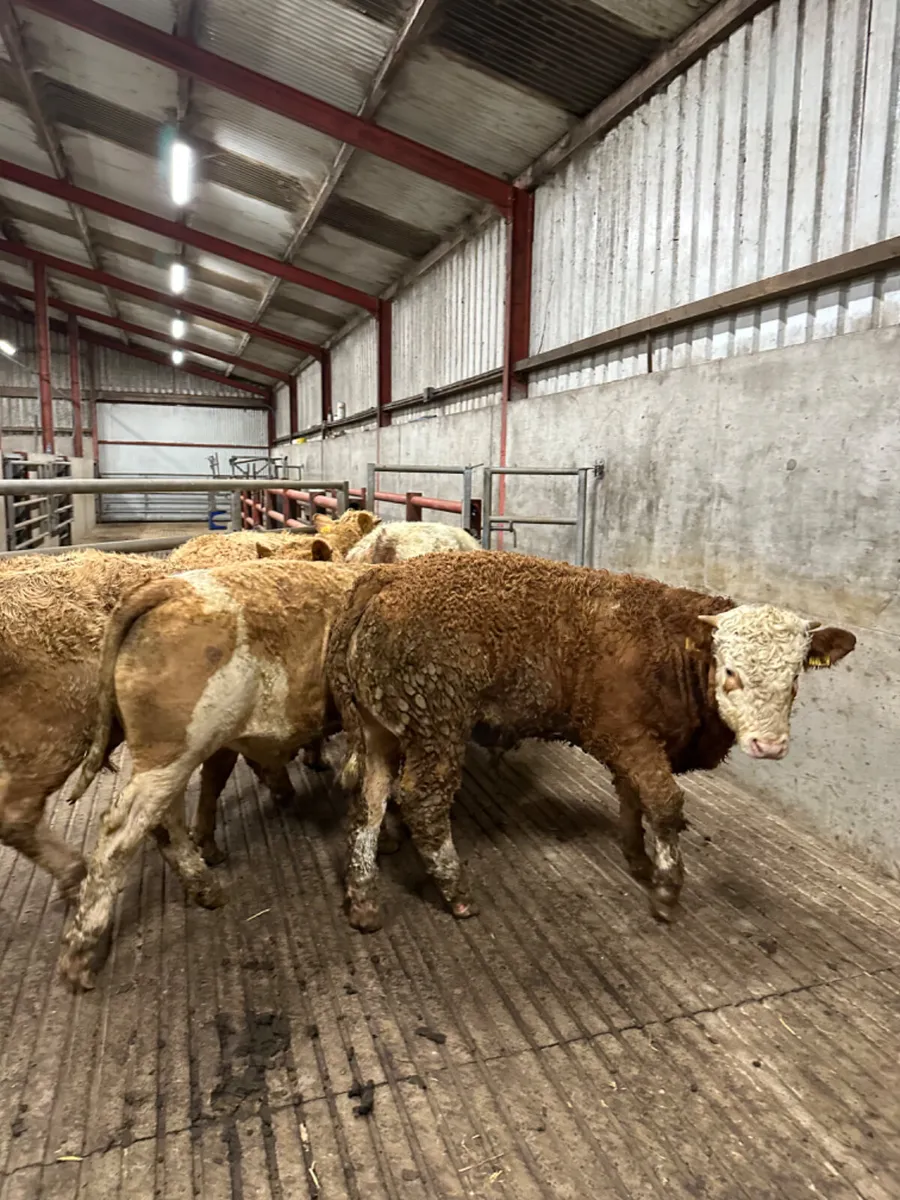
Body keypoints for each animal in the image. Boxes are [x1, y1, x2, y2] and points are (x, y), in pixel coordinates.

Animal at [58, 558, 363, 991]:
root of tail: (166, 588)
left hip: (170, 758)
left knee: (164, 820)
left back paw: (206, 887)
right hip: (174, 750)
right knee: (119, 832)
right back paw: (81, 956)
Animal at [325, 552, 856, 933]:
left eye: (795, 677)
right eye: (730, 672)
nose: (769, 744)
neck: (669, 647)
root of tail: (385, 577)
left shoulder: (636, 744)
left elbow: (632, 798)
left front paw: (638, 860)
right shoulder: (624, 734)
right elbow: (664, 803)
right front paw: (666, 890)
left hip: (379, 728)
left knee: (369, 803)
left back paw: (364, 900)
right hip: (438, 724)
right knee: (423, 803)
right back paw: (458, 894)